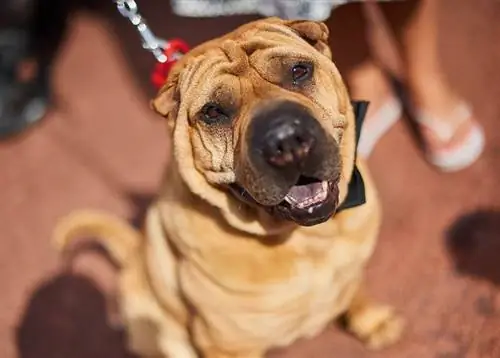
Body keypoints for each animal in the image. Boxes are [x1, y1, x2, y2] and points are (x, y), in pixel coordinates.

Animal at [53, 18, 402, 358]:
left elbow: (356, 290)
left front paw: (371, 321)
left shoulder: (350, 268)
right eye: (213, 112)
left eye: (299, 71)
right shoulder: (225, 344)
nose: (286, 139)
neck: (304, 239)